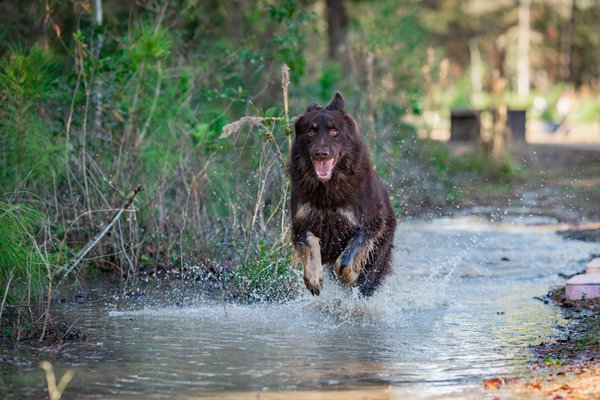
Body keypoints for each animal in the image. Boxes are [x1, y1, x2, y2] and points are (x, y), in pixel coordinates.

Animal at [288, 92, 396, 296]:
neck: (327, 188)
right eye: (311, 132)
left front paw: (351, 273)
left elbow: (346, 259)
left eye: (334, 132)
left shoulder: (369, 225)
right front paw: (313, 277)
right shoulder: (301, 224)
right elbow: (311, 242)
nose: (320, 153)